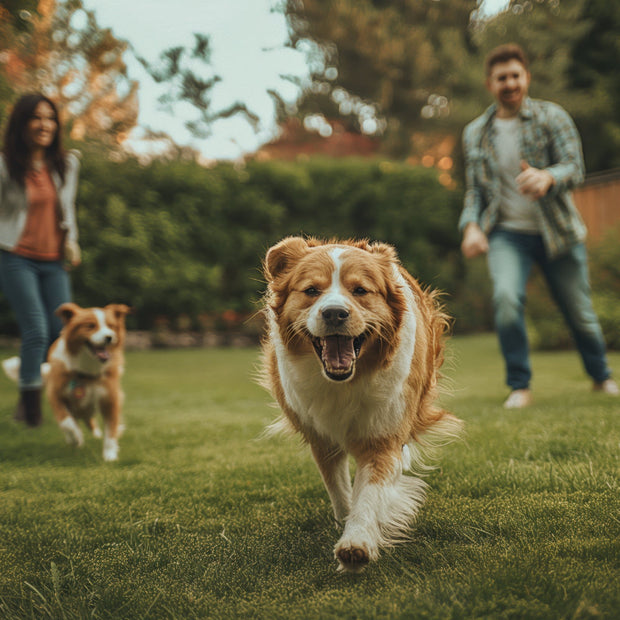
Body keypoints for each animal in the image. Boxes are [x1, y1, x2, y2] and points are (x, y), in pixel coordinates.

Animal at [2, 302, 130, 458]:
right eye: (90, 326)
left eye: (111, 326)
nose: (109, 337)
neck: (86, 370)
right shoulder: (55, 394)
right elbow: (66, 422)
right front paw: (76, 438)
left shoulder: (110, 398)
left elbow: (111, 429)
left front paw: (110, 456)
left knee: (90, 421)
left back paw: (97, 433)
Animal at [260, 236, 460, 572]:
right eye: (311, 290)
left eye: (360, 291)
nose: (334, 313)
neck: (345, 383)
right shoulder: (320, 436)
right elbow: (340, 491)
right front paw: (346, 520)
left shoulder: (384, 435)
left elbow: (369, 493)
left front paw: (357, 543)